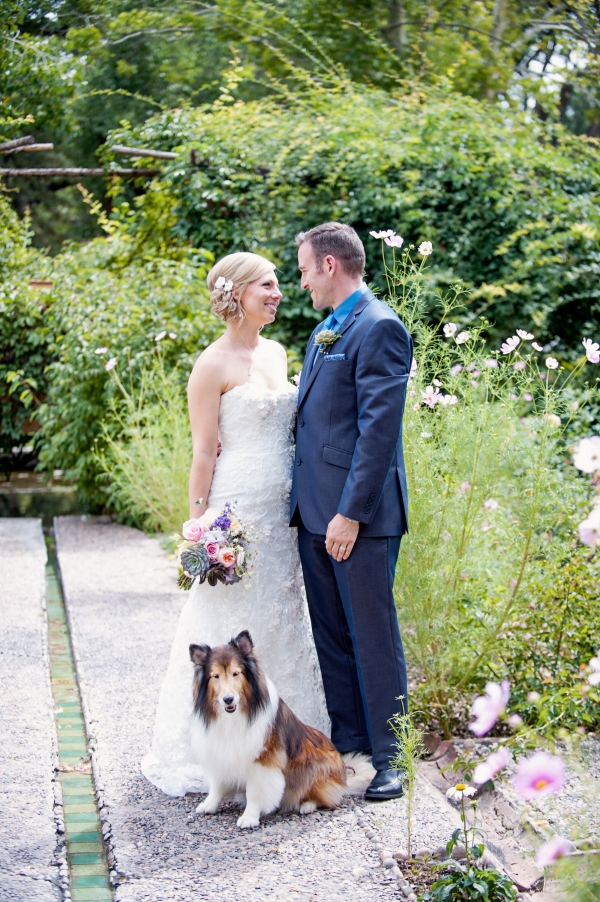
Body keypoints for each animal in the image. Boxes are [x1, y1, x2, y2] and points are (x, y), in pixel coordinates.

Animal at [189, 632, 376, 828]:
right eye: (215, 676)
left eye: (236, 673)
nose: (228, 699)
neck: (234, 716)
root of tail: (344, 777)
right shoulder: (220, 752)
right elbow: (217, 784)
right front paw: (209, 805)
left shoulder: (262, 760)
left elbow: (255, 792)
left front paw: (249, 817)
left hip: (316, 764)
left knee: (326, 796)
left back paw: (307, 805)